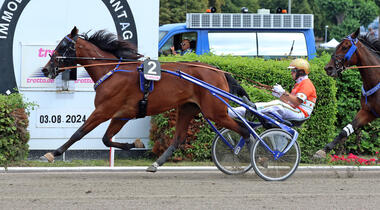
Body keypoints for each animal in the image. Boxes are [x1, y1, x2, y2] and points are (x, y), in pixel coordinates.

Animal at [41, 26, 251, 171]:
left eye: (62, 46)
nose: (45, 69)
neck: (111, 71)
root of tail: (219, 71)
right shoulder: (122, 114)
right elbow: (106, 139)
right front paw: (133, 144)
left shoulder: (103, 111)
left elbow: (79, 133)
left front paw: (52, 153)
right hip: (188, 107)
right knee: (178, 138)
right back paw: (156, 164)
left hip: (215, 111)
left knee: (244, 130)